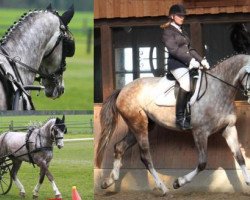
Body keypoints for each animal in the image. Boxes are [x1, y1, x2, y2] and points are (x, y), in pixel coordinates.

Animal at [96, 54, 250, 195]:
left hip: (140, 126)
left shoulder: (229, 128)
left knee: (119, 147)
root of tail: (122, 89)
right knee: (145, 156)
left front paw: (248, 182)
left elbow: (240, 158)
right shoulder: (200, 132)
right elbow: (202, 163)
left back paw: (108, 181)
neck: (219, 89)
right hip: (139, 125)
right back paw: (164, 189)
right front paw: (178, 182)